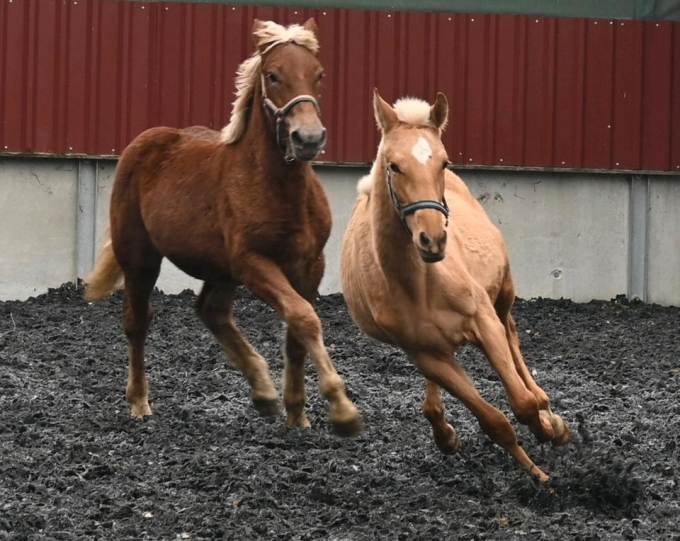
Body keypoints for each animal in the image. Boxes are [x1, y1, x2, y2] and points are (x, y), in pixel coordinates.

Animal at [84, 18, 363, 438]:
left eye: (319, 75)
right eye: (273, 75)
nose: (308, 138)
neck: (277, 188)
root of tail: (148, 140)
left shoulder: (310, 265)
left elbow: (298, 332)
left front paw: (297, 414)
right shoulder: (253, 263)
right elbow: (303, 317)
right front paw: (342, 409)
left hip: (220, 269)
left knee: (211, 311)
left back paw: (263, 392)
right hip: (141, 258)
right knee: (137, 322)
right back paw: (139, 403)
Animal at [341, 89, 570, 481]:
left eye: (444, 163)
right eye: (393, 165)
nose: (433, 239)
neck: (418, 282)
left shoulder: (483, 322)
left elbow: (522, 403)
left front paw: (549, 429)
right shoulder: (426, 355)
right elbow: (494, 421)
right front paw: (538, 474)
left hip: (502, 297)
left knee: (512, 335)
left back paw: (545, 406)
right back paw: (444, 432)